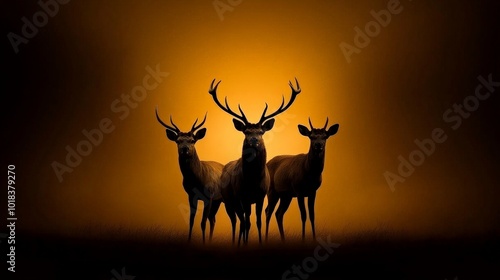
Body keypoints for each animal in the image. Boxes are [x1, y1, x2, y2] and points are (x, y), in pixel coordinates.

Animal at [153, 107, 222, 243]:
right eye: (178, 141)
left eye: (192, 140)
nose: (185, 149)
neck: (197, 179)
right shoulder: (191, 195)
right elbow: (191, 221)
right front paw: (189, 241)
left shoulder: (209, 196)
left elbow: (202, 223)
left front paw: (204, 243)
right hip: (217, 200)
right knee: (213, 219)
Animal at [208, 77, 300, 244]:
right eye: (246, 132)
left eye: (261, 132)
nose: (254, 140)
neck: (252, 180)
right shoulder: (242, 196)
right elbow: (247, 222)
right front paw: (244, 244)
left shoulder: (260, 196)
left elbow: (258, 221)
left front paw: (260, 242)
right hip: (229, 199)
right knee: (237, 221)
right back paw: (236, 242)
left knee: (243, 220)